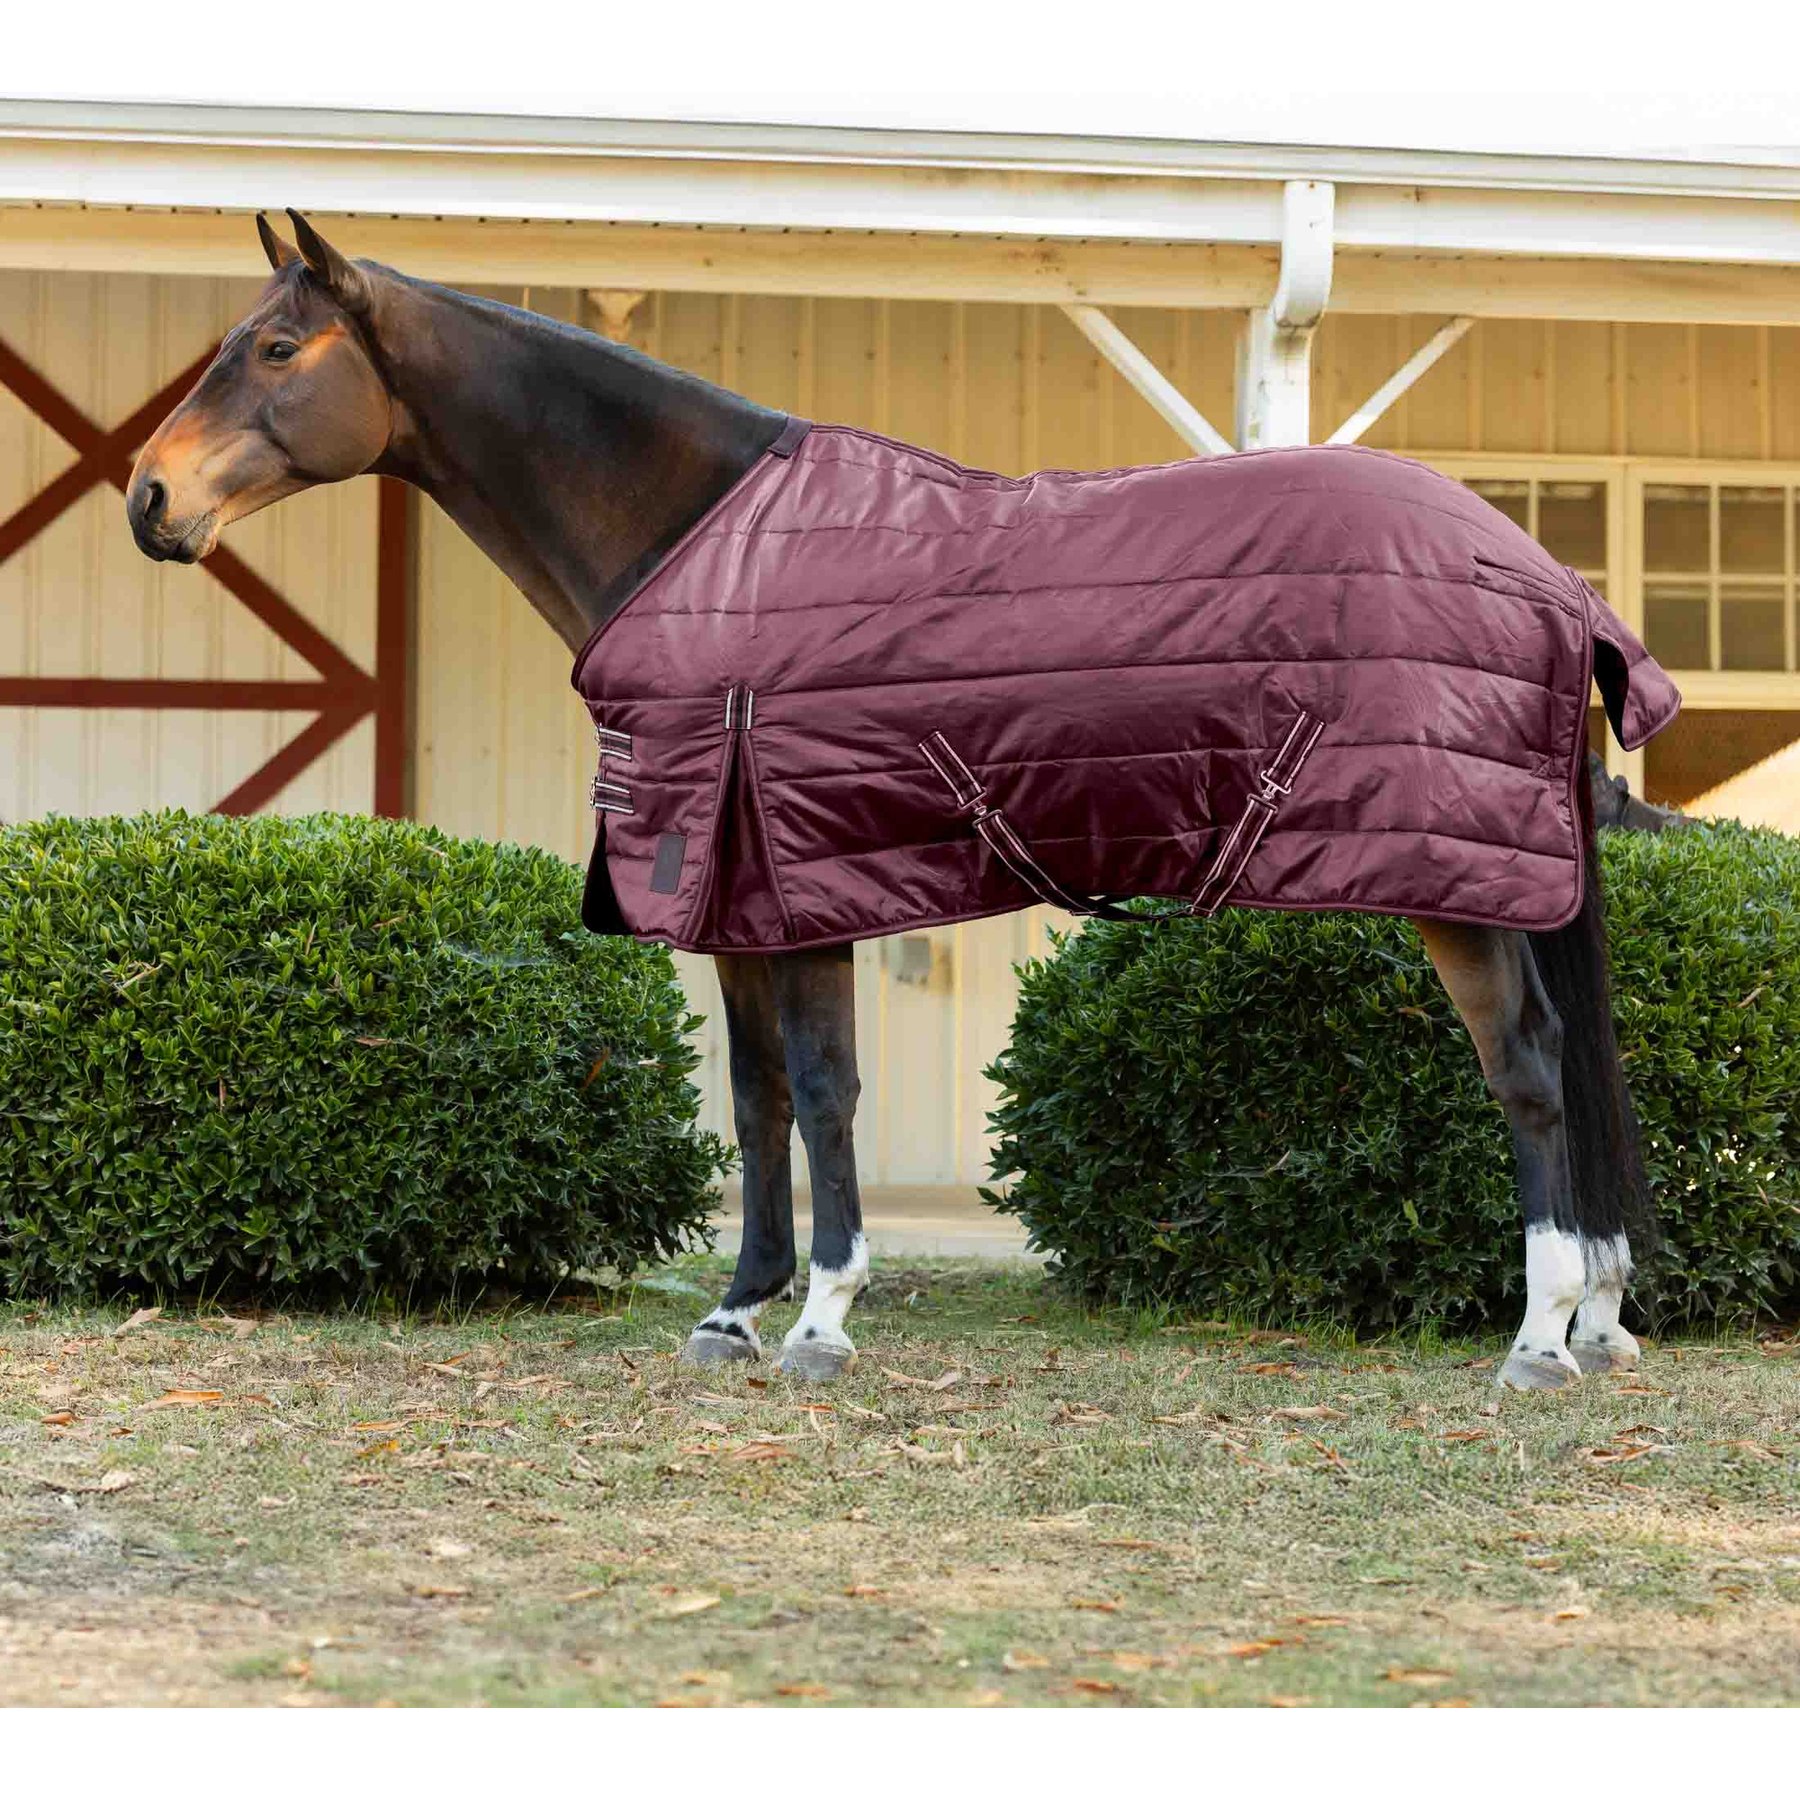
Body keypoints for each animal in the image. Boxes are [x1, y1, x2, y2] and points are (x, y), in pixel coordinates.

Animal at [126, 212, 1661, 1390]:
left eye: (274, 351)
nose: (148, 498)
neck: (704, 543)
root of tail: (1546, 574)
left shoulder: (803, 885)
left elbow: (823, 1092)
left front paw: (820, 1318)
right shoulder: (737, 898)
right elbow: (755, 1099)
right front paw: (733, 1311)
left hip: (1457, 887)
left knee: (1528, 1068)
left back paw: (1540, 1336)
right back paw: (1598, 1314)